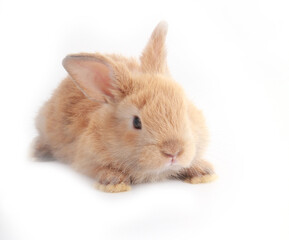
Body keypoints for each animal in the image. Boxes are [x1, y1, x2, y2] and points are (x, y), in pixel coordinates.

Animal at [33, 21, 216, 192]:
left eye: (186, 112)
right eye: (136, 122)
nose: (173, 151)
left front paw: (203, 172)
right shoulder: (86, 159)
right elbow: (100, 168)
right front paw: (114, 182)